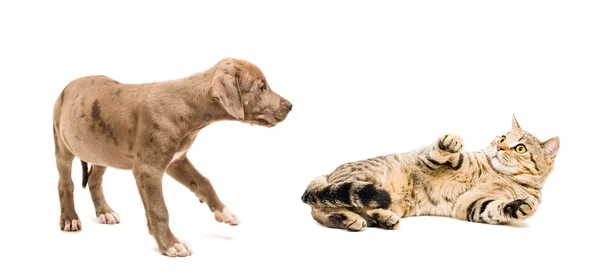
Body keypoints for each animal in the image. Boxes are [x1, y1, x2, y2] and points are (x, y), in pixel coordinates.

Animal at [52, 58, 292, 258]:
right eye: (262, 87)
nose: (290, 106)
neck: (190, 107)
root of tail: (68, 86)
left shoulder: (176, 162)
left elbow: (204, 183)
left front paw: (224, 213)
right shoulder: (149, 170)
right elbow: (159, 210)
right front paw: (170, 244)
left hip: (100, 150)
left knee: (94, 179)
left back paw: (105, 212)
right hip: (63, 146)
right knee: (65, 183)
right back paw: (70, 218)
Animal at [302, 116, 560, 232]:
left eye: (520, 148)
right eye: (503, 138)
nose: (498, 147)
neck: (496, 173)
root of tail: (327, 174)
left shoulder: (471, 205)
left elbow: (497, 208)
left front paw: (521, 206)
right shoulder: (427, 159)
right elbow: (442, 154)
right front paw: (451, 143)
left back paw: (376, 218)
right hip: (365, 180)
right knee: (319, 206)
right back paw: (350, 218)